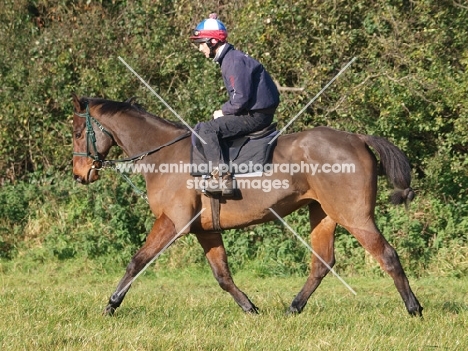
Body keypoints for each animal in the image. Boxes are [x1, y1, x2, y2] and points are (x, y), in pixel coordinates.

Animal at [70, 94, 424, 320]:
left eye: (75, 133)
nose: (79, 174)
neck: (163, 153)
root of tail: (356, 137)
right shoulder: (205, 231)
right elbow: (222, 276)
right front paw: (250, 308)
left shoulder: (172, 222)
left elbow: (136, 262)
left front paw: (111, 304)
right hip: (323, 214)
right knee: (322, 263)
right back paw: (293, 308)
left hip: (354, 216)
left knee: (387, 255)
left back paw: (414, 309)